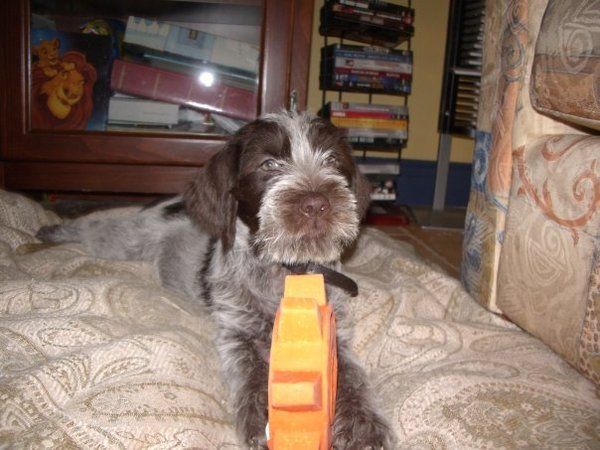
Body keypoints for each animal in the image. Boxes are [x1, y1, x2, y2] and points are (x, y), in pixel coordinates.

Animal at [37, 111, 395, 449]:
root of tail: (170, 201)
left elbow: (352, 376)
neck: (285, 270)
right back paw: (53, 229)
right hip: (123, 241)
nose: (317, 204)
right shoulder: (235, 332)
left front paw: (363, 423)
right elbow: (250, 372)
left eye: (332, 161)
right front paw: (263, 416)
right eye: (268, 164)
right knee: (94, 226)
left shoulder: (337, 332)